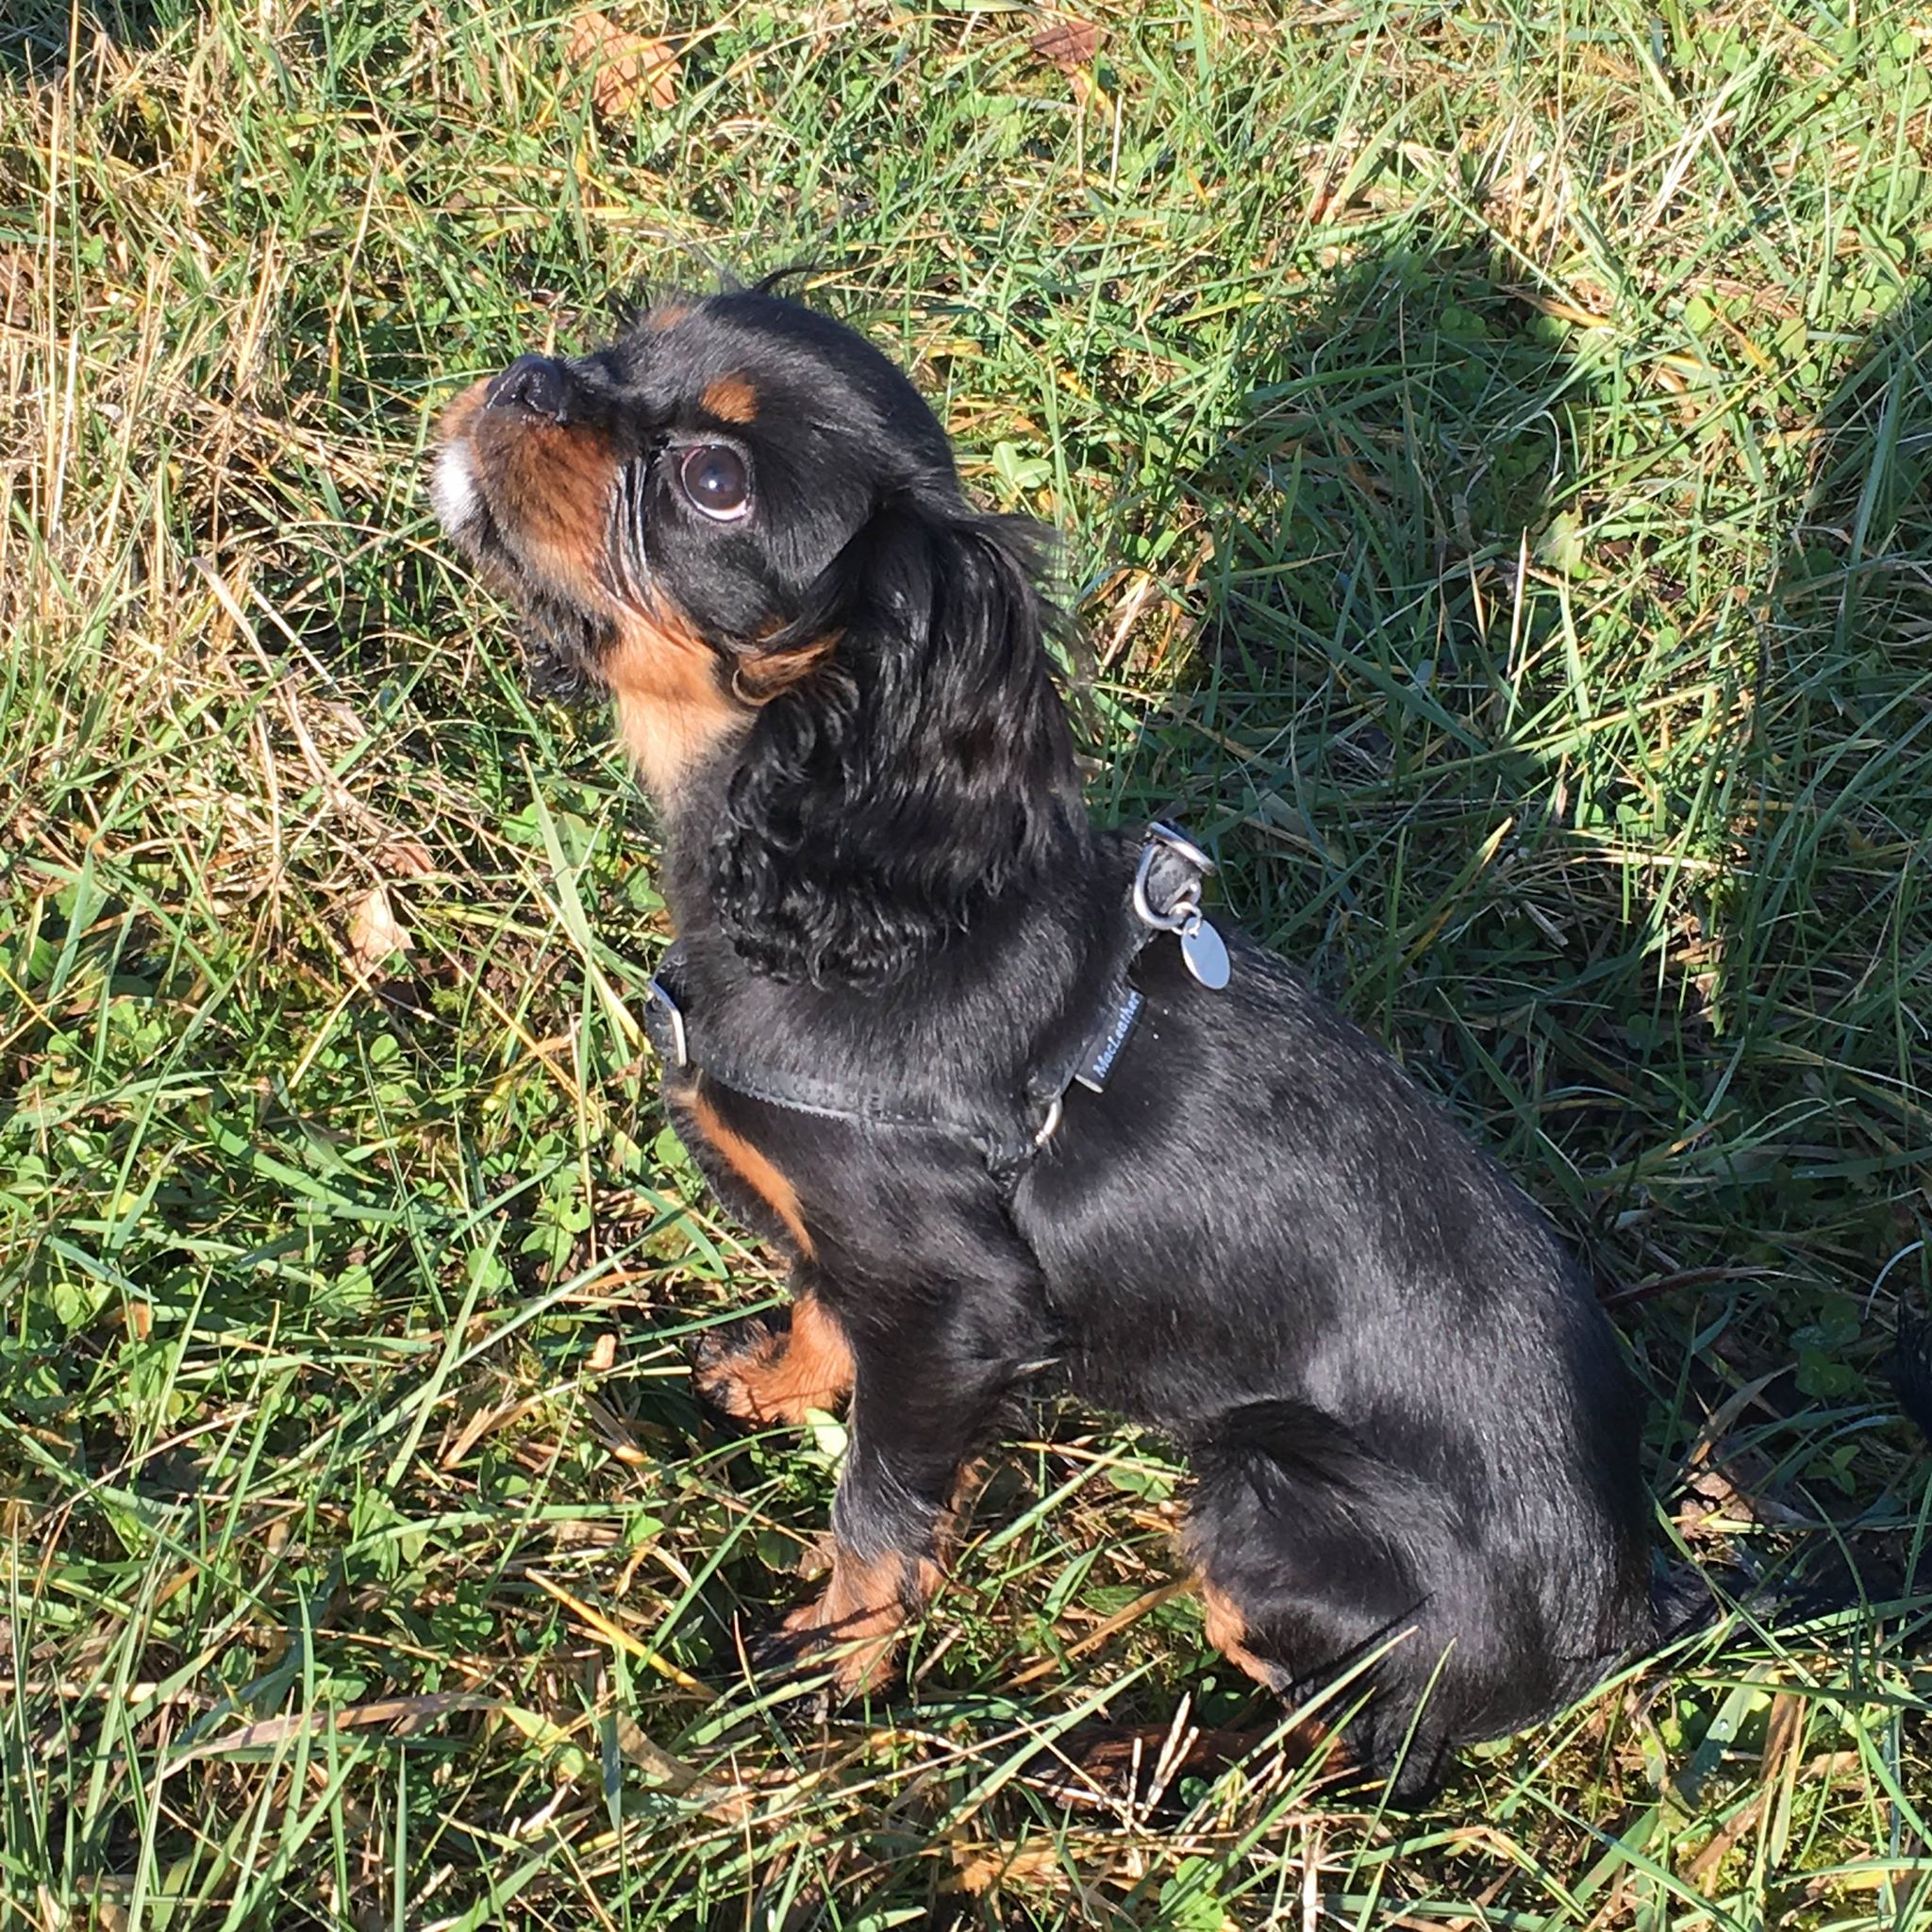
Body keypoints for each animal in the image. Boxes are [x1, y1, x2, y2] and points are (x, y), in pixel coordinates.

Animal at [432, 283, 1657, 1797]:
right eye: (628, 336)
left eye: (714, 481)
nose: (532, 379)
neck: (855, 909)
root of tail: (1616, 1613)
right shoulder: (868, 1266)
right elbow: (823, 1310)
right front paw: (768, 1383)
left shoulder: (953, 1316)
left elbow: (880, 1503)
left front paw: (827, 1661)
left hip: (1258, 1506)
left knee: (1341, 1739)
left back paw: (1126, 1764)